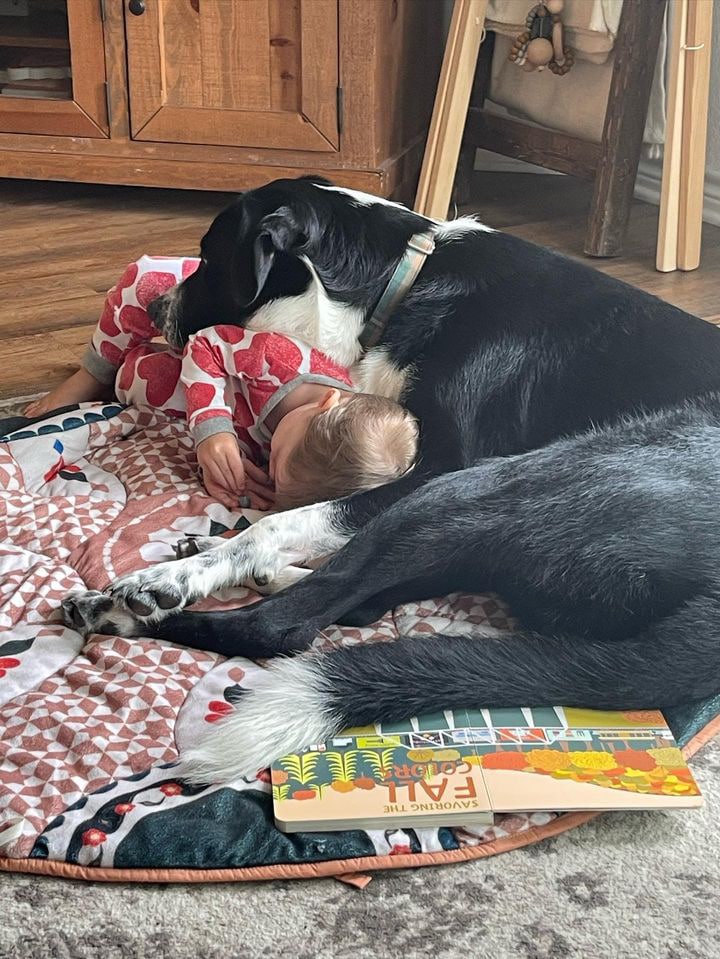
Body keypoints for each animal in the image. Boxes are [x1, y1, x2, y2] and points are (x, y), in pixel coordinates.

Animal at [62, 176, 720, 783]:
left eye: (210, 255)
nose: (154, 310)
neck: (401, 282)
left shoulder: (438, 466)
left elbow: (283, 523)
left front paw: (181, 575)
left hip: (478, 488)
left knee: (285, 623)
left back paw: (129, 606)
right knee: (359, 599)